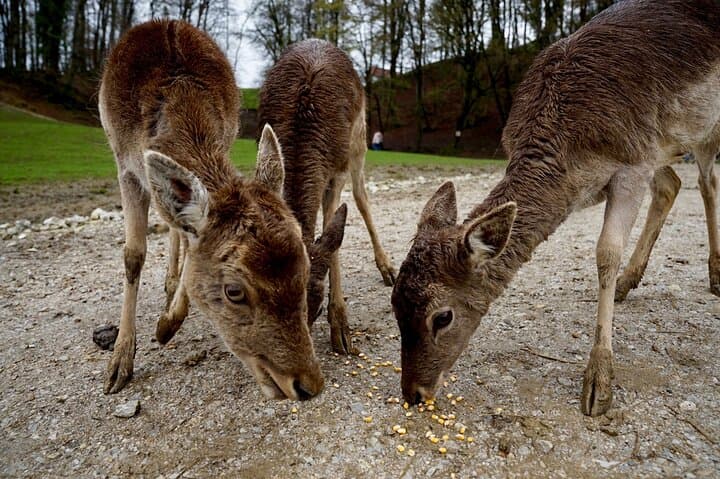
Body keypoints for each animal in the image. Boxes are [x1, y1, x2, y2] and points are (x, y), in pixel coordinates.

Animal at [98, 19, 336, 401]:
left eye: (304, 270)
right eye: (234, 292)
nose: (308, 384)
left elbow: (187, 240)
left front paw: (167, 324)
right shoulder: (126, 167)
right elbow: (133, 254)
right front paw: (119, 364)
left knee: (176, 228)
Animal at [257, 39, 397, 355]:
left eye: (317, 309)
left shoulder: (338, 169)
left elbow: (334, 229)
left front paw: (341, 329)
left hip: (360, 137)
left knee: (361, 196)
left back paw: (388, 269)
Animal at [391, 0, 720, 416]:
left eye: (442, 317)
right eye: (394, 304)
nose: (413, 393)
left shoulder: (631, 165)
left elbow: (606, 252)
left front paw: (598, 383)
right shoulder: (644, 152)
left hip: (703, 129)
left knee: (707, 182)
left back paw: (715, 274)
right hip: (663, 143)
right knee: (671, 184)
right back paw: (630, 281)